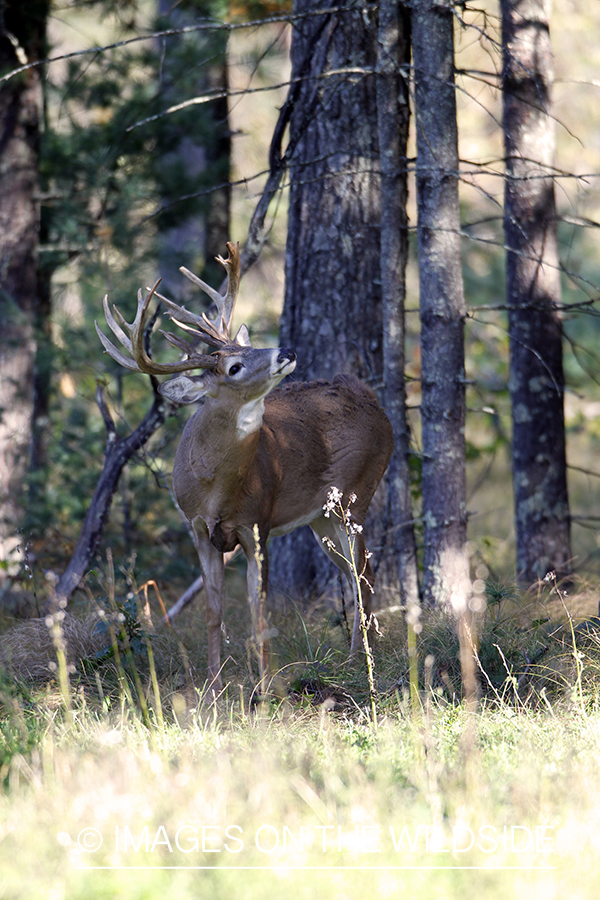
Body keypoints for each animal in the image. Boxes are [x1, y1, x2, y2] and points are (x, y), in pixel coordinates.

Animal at [96, 239, 396, 688]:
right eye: (234, 366)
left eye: (250, 348)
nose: (287, 350)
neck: (217, 492)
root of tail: (373, 400)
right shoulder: (197, 528)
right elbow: (213, 611)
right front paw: (212, 684)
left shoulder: (258, 525)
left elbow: (259, 613)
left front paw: (265, 685)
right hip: (321, 518)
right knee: (354, 575)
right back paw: (356, 657)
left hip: (356, 494)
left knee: (365, 578)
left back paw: (361, 663)